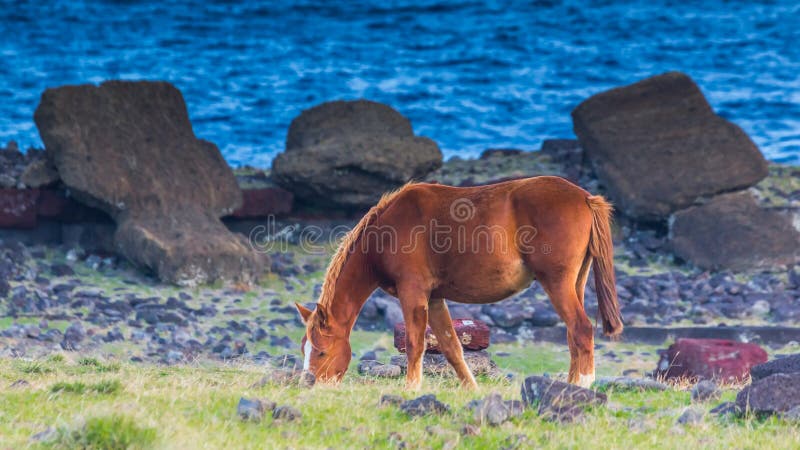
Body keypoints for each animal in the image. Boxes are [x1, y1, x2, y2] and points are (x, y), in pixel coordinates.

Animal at [296, 176, 620, 390]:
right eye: (304, 349)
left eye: (321, 351)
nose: (309, 384)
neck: (386, 234)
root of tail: (585, 198)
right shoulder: (434, 298)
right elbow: (451, 347)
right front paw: (471, 389)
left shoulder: (413, 293)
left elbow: (415, 343)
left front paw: (411, 389)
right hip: (574, 284)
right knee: (573, 336)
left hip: (557, 283)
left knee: (581, 329)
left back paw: (582, 386)